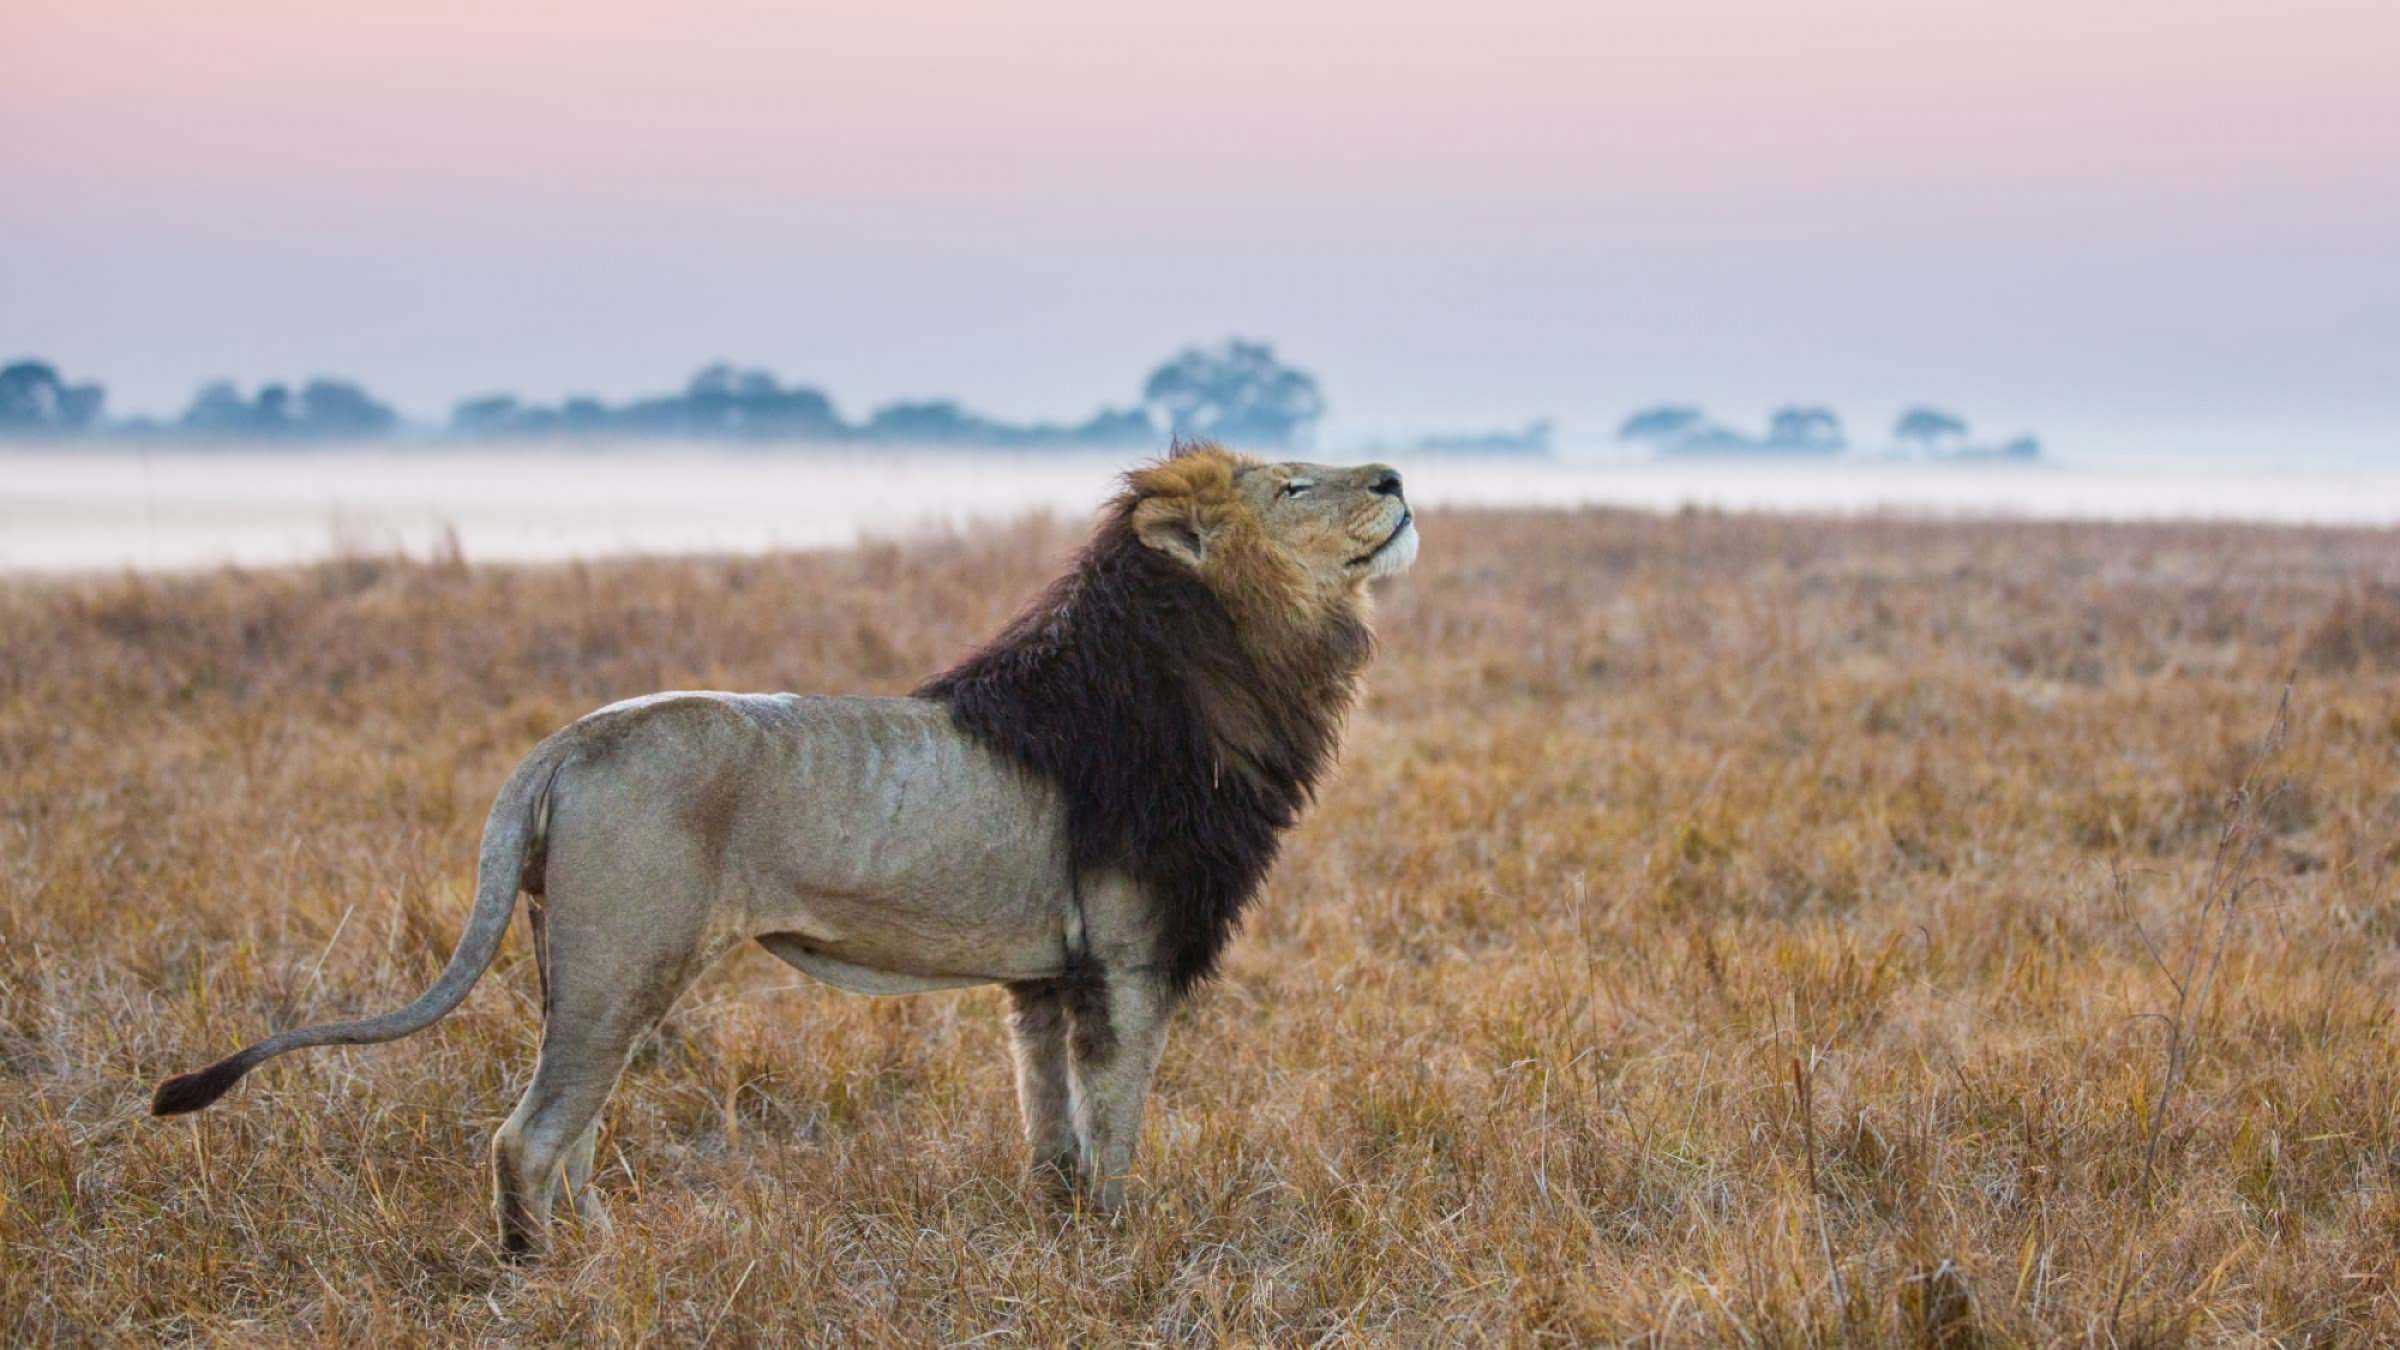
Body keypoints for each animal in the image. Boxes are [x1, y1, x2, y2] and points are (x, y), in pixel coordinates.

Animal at [150, 441, 1411, 1249]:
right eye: (1296, 481)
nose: (1397, 478)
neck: (1226, 666)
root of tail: (568, 742)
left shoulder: (1048, 979)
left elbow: (1051, 1134)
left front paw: (1060, 1237)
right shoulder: (1129, 965)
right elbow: (1117, 1138)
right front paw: (1122, 1252)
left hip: (587, 965)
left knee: (573, 1135)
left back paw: (613, 1257)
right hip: (628, 959)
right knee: (529, 1138)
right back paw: (545, 1280)